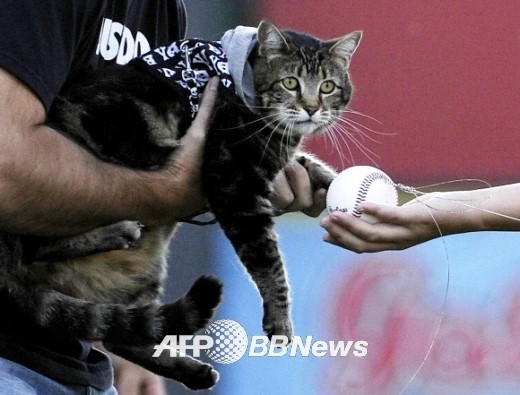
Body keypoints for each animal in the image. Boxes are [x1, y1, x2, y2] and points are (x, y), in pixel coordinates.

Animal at [1, 20, 362, 390]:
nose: (311, 108)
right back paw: (115, 231)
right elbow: (268, 263)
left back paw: (192, 370)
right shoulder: (234, 183)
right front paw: (280, 318)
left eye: (328, 86)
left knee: (124, 335)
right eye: (290, 83)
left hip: (148, 266)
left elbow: (317, 169)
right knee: (35, 247)